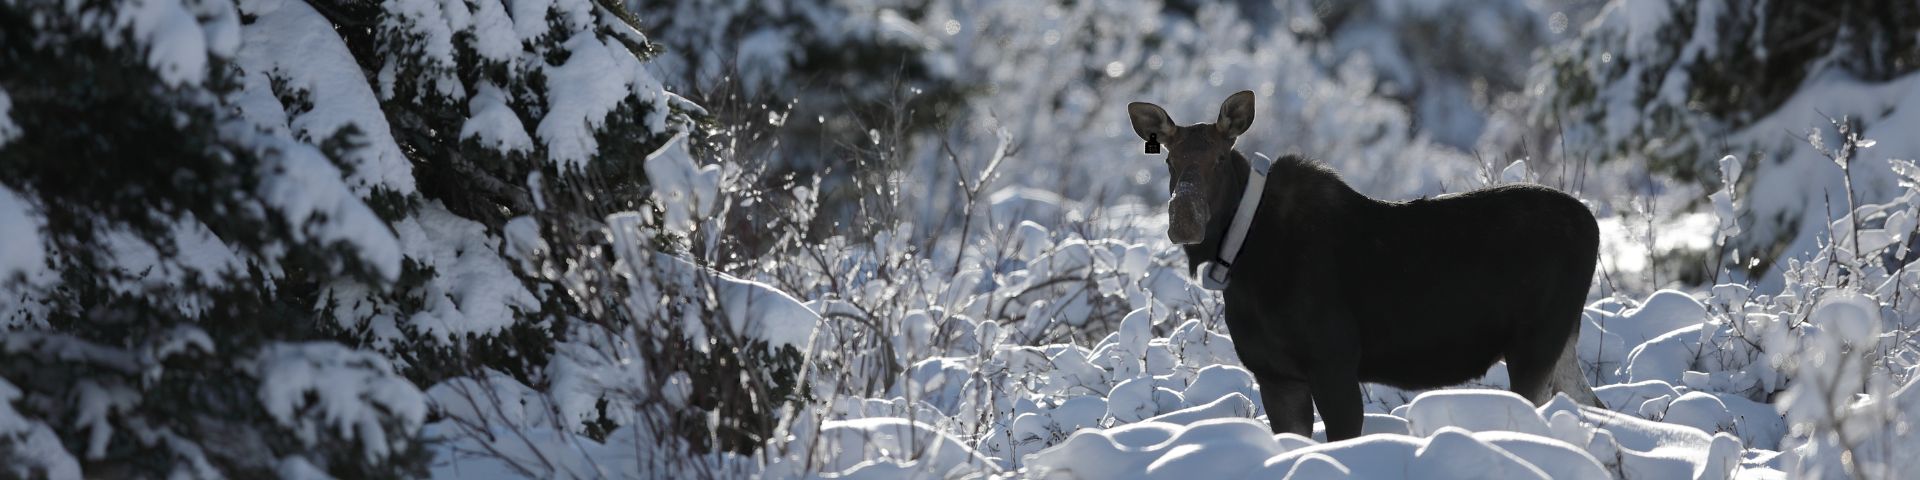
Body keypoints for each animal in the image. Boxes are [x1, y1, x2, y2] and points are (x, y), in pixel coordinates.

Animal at [1128, 90, 1597, 441]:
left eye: (1220, 159)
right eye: (1168, 160)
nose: (1183, 219)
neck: (1244, 258)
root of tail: (1591, 225)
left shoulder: (1333, 361)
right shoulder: (1275, 374)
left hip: (1535, 343)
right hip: (1560, 345)